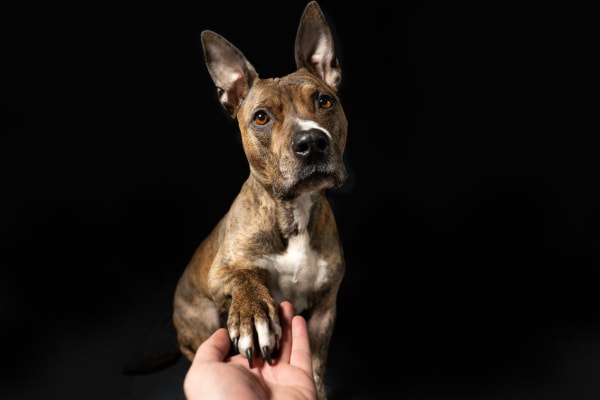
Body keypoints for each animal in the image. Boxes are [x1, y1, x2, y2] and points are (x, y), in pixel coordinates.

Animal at [171, 2, 346, 396]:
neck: (293, 210)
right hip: (200, 319)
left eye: (324, 100)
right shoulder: (221, 270)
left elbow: (316, 367)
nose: (312, 142)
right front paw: (253, 313)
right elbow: (242, 277)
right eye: (262, 117)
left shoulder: (324, 310)